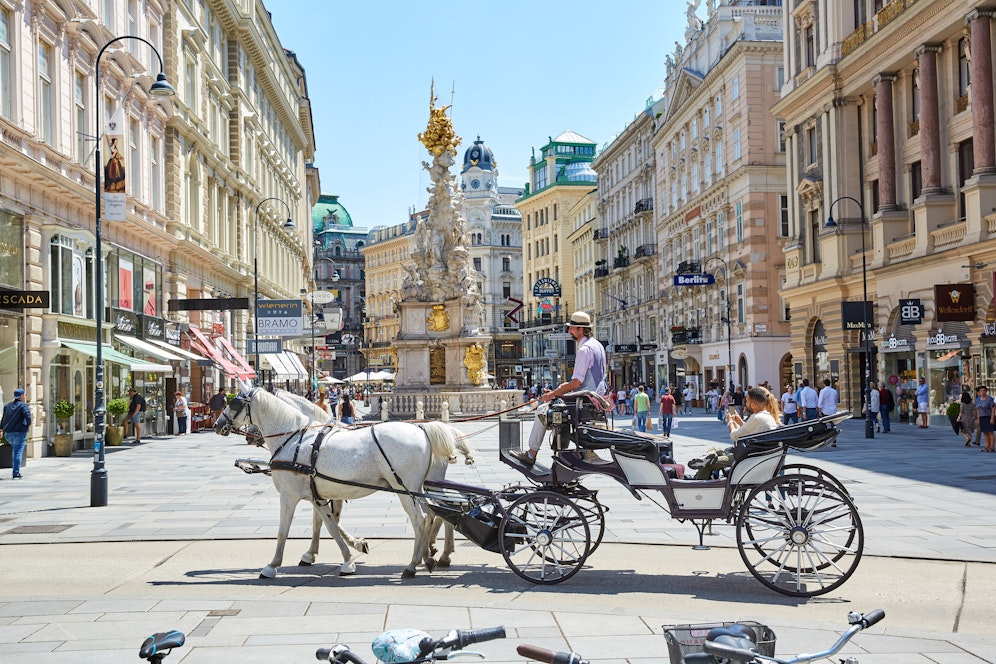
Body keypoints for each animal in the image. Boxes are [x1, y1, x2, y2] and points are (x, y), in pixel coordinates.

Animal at [216, 381, 466, 578]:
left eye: (233, 403)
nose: (218, 425)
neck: (294, 437)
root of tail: (424, 429)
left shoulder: (289, 495)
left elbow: (285, 530)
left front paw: (272, 565)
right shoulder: (318, 494)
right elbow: (328, 524)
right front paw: (343, 554)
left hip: (406, 487)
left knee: (421, 519)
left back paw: (415, 564)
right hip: (418, 488)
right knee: (437, 513)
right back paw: (431, 556)